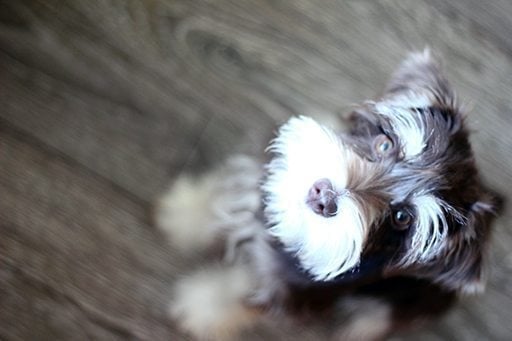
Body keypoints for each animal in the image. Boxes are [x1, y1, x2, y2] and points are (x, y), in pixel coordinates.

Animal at [158, 49, 498, 338]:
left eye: (402, 217)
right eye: (385, 144)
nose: (323, 196)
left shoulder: (292, 291)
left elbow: (239, 292)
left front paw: (200, 309)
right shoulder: (257, 177)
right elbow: (219, 195)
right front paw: (183, 214)